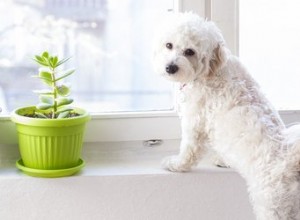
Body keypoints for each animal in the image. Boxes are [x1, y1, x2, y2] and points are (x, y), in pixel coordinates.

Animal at [154, 12, 300, 220]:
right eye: (169, 45)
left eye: (190, 51)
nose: (170, 67)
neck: (210, 71)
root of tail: (290, 157)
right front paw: (223, 161)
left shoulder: (195, 121)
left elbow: (189, 150)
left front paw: (177, 164)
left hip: (272, 205)